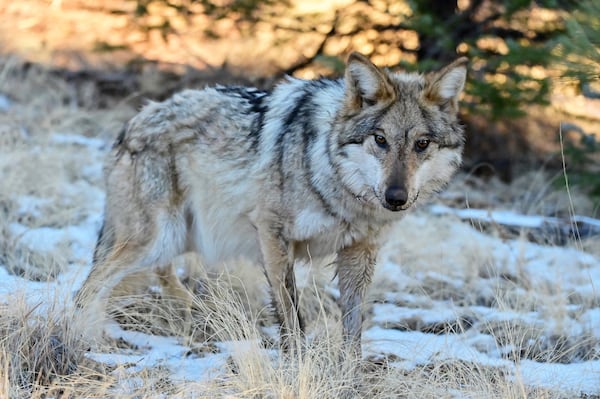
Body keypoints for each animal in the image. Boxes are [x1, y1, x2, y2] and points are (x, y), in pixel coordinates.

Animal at [75, 52, 468, 356]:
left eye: (422, 144)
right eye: (380, 139)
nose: (396, 198)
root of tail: (133, 121)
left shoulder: (359, 253)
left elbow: (353, 329)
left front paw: (351, 377)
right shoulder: (272, 234)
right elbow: (292, 318)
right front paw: (298, 368)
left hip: (179, 239)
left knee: (158, 279)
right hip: (156, 239)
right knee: (89, 288)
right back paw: (89, 343)